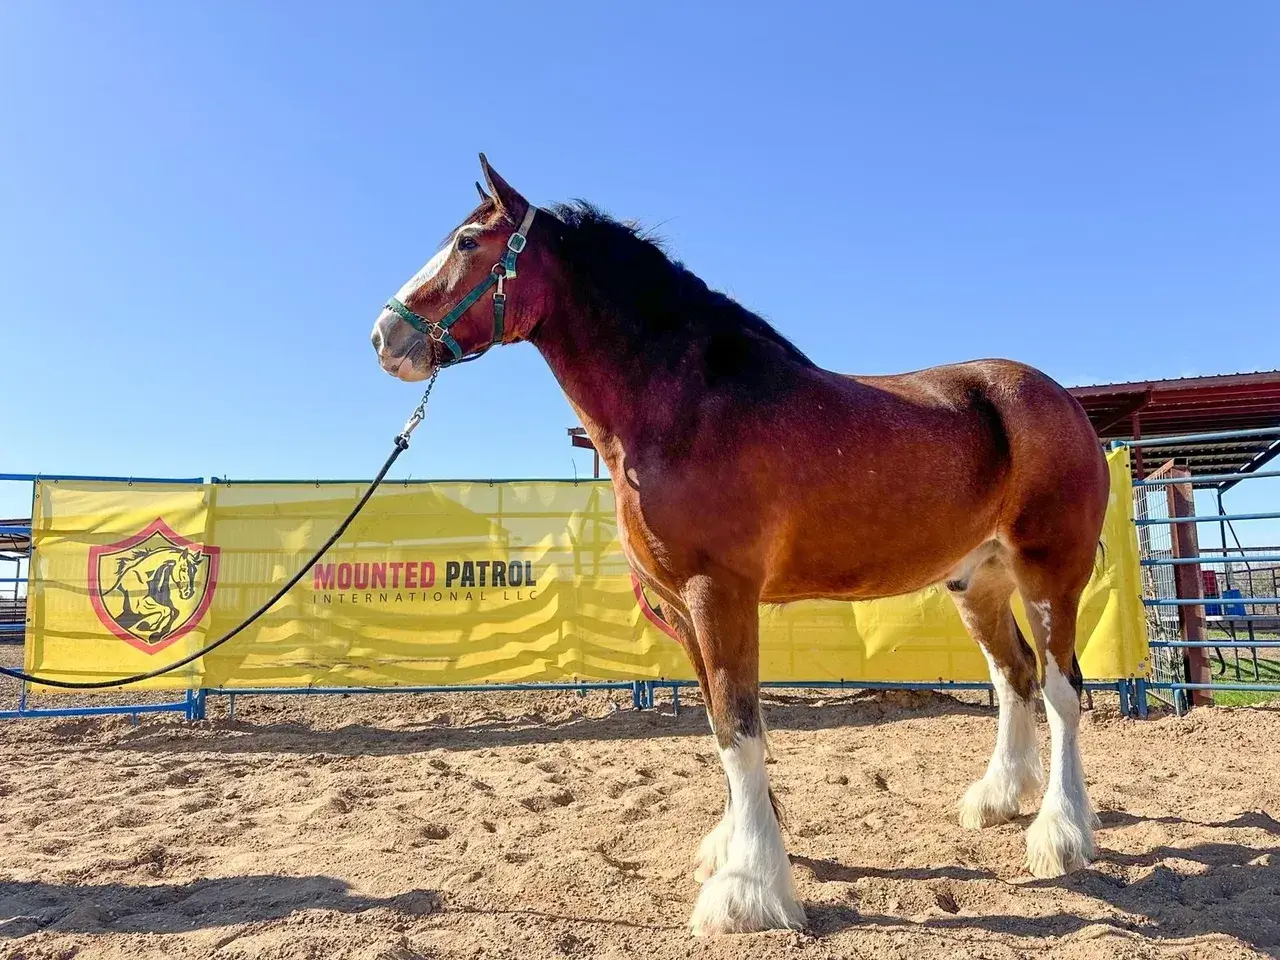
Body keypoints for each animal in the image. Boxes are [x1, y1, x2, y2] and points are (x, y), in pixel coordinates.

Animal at [369, 155, 1110, 935]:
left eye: (467, 243)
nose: (384, 338)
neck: (684, 408)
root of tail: (1061, 402)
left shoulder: (718, 594)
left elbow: (739, 728)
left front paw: (749, 890)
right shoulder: (683, 606)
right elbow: (719, 724)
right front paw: (733, 849)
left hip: (1050, 574)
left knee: (1061, 688)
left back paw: (1060, 834)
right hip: (979, 581)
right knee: (1014, 677)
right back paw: (996, 799)